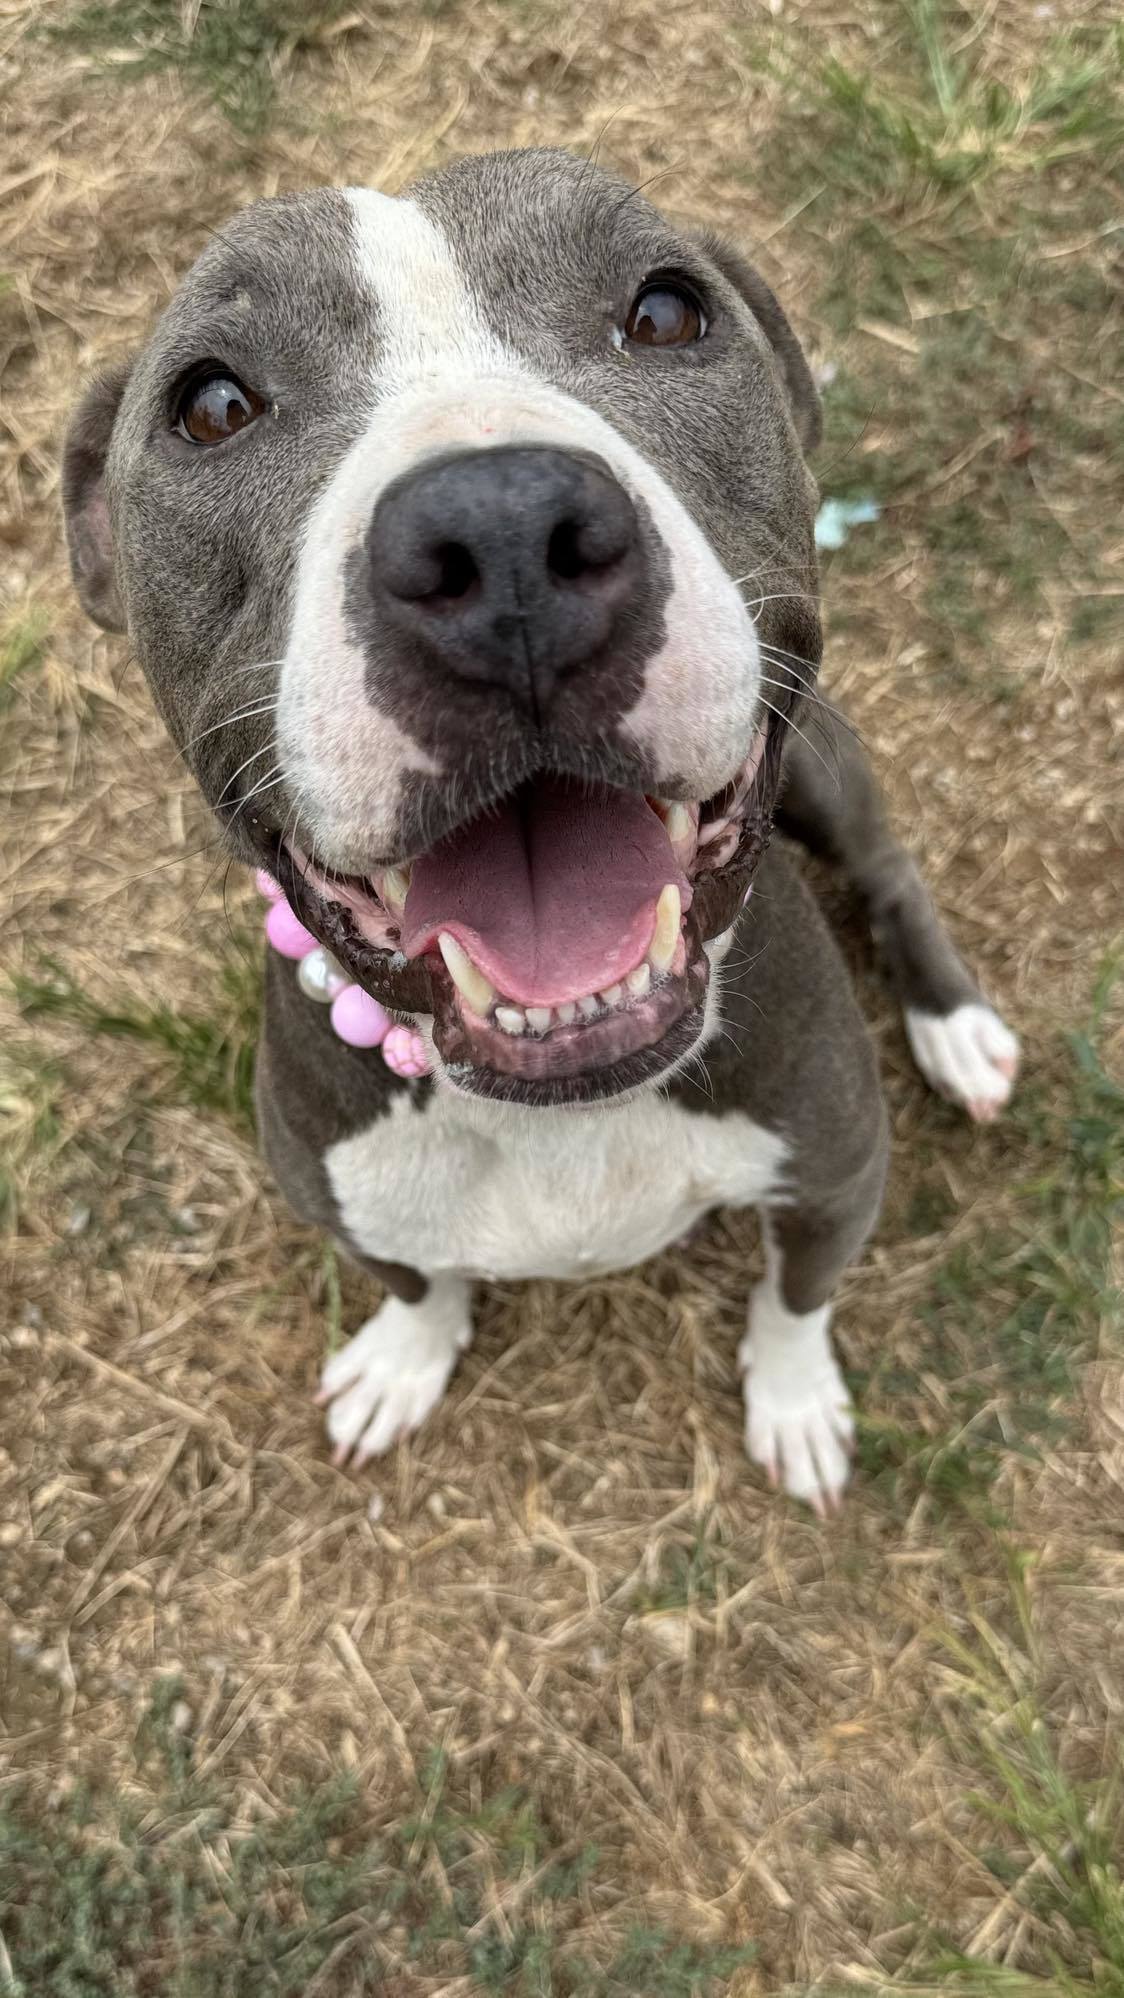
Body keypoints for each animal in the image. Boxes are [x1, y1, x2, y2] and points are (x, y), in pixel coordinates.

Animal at [61, 144, 1022, 1510]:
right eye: (212, 404)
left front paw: (793, 1404)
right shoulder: (340, 1194)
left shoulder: (837, 1174)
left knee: (888, 873)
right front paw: (403, 1358)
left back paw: (954, 1029)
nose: (502, 527)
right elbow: (416, 1279)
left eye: (665, 311)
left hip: (829, 770)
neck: (552, 1110)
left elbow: (796, 1299)